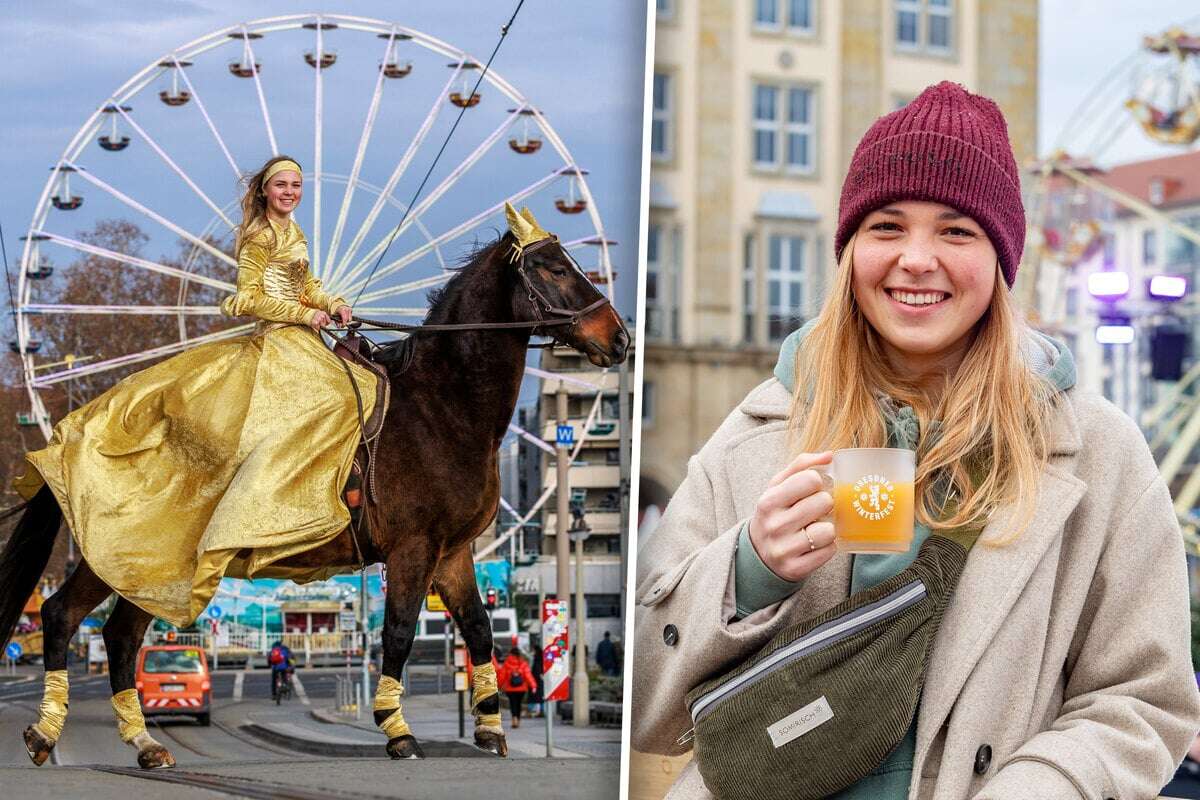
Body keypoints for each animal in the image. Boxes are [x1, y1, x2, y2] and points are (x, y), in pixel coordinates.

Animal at [0, 220, 628, 767]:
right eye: (555, 269)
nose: (618, 337)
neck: (442, 408)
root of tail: (75, 423)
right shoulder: (413, 548)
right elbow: (397, 633)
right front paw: (398, 731)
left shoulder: (452, 551)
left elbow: (478, 629)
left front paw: (491, 728)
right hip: (123, 552)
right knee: (61, 615)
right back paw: (45, 733)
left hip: (154, 567)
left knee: (120, 635)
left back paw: (144, 743)